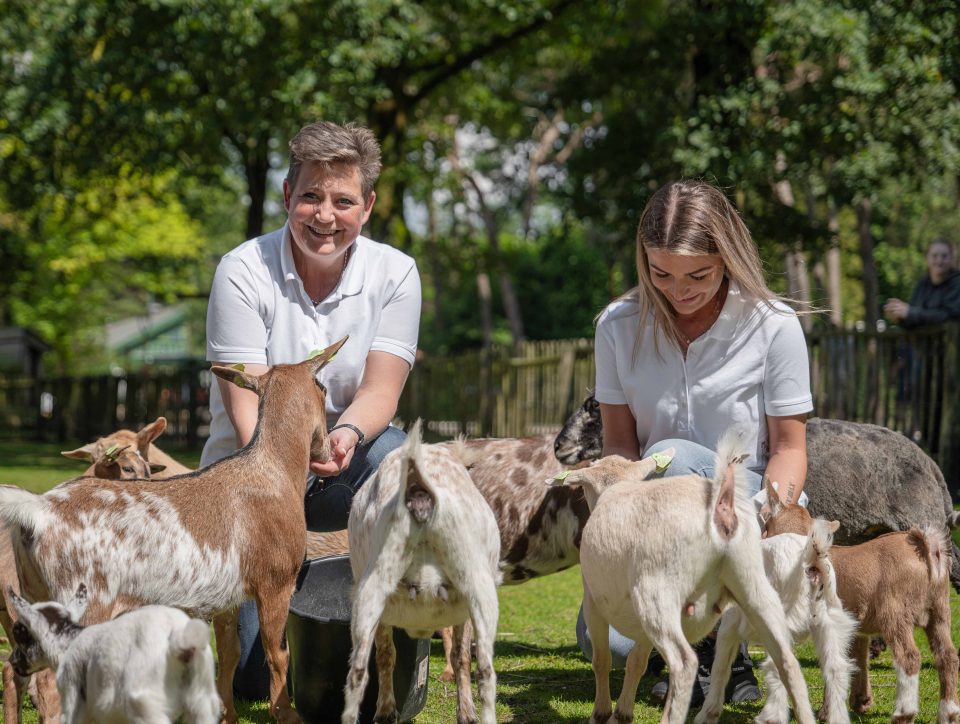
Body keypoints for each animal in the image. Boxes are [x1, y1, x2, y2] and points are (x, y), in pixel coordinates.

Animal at [8, 583, 221, 724]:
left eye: (18, 631)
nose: (11, 660)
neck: (69, 641)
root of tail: (180, 640)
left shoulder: (71, 697)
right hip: (202, 699)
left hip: (146, 704)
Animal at [343, 420, 501, 724]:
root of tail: (419, 492)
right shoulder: (464, 609)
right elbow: (461, 656)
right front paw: (466, 713)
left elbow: (387, 654)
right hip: (478, 589)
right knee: (486, 673)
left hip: (372, 591)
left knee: (358, 673)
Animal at [551, 441, 815, 724]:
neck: (617, 486)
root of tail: (721, 510)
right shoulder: (641, 625)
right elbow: (636, 662)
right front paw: (622, 713)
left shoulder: (593, 599)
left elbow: (602, 660)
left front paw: (601, 714)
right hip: (752, 582)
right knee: (787, 660)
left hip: (657, 592)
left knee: (684, 663)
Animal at [694, 518, 859, 724]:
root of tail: (811, 560)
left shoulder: (729, 623)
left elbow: (720, 666)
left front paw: (707, 714)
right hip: (830, 621)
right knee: (836, 668)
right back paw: (837, 718)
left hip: (780, 620)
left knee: (782, 666)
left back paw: (772, 715)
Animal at [764, 491, 960, 723]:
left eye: (766, 525)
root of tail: (927, 547)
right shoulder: (854, 622)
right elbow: (856, 656)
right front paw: (859, 702)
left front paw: (827, 712)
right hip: (940, 608)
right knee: (947, 655)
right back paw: (949, 713)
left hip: (895, 611)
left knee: (909, 657)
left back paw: (904, 713)